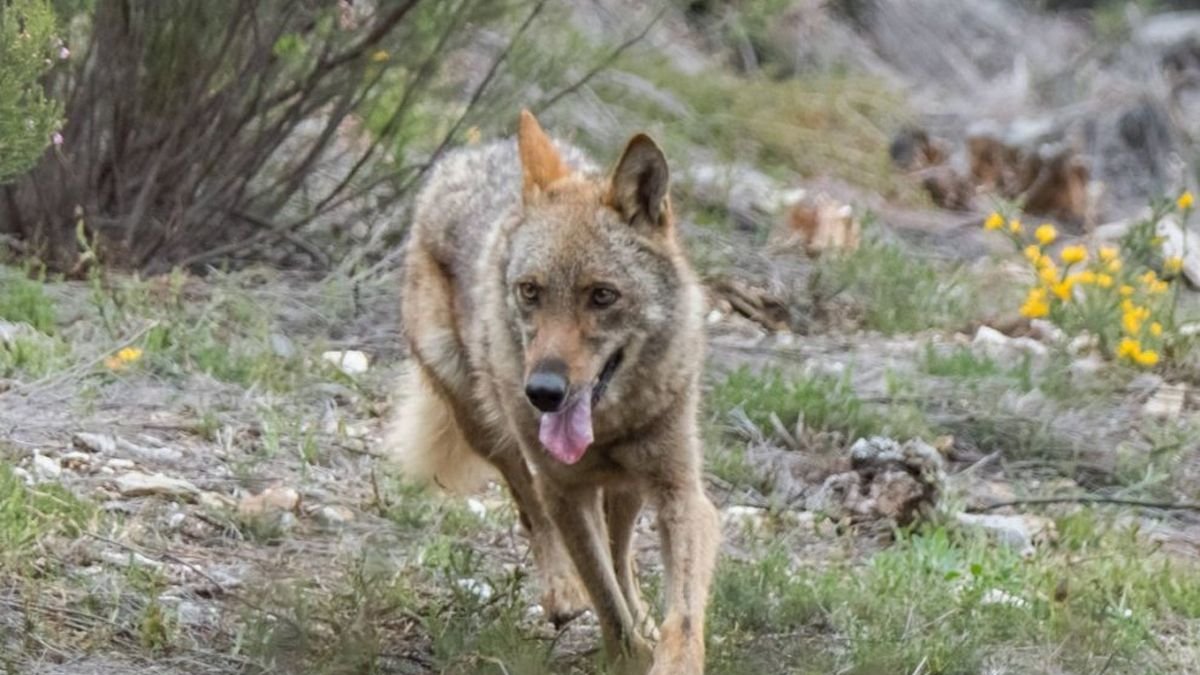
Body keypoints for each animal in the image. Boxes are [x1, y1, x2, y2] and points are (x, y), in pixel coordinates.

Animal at [386, 110, 720, 674]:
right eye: (530, 291)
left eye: (602, 295)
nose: (542, 391)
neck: (609, 426)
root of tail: (474, 154)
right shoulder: (564, 490)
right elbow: (606, 602)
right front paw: (626, 653)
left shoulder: (680, 492)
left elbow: (681, 618)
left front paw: (664, 650)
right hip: (488, 427)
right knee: (532, 510)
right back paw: (563, 593)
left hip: (629, 487)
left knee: (622, 554)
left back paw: (642, 615)